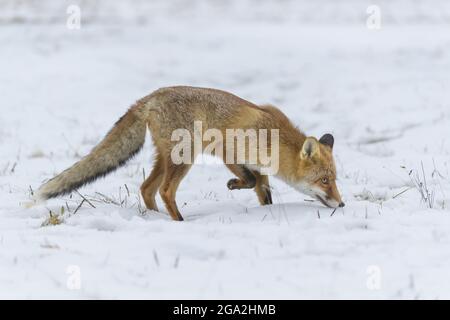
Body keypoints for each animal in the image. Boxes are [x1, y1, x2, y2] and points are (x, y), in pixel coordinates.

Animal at [29, 85, 342, 221]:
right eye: (324, 180)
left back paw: (156, 218)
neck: (273, 137)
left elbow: (263, 191)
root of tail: (148, 98)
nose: (341, 204)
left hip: (166, 158)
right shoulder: (228, 150)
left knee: (146, 188)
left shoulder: (257, 166)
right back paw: (178, 221)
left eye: (334, 179)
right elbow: (250, 181)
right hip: (184, 156)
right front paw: (233, 185)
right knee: (165, 190)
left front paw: (268, 211)